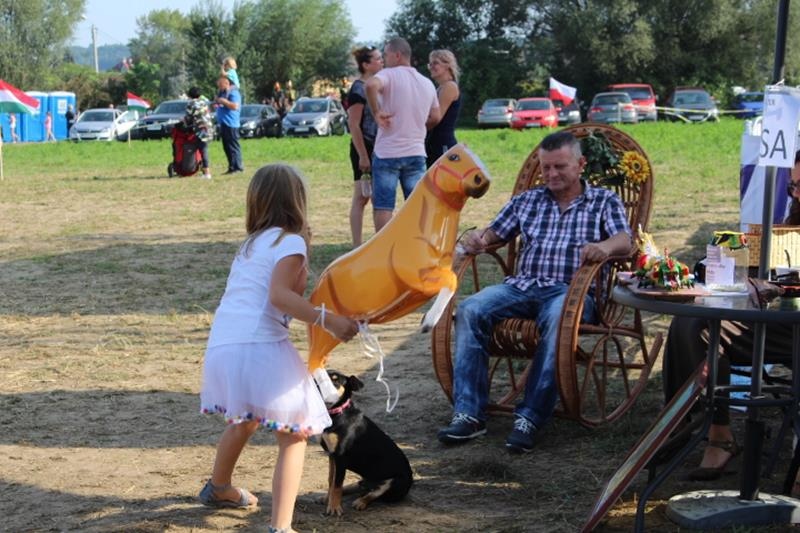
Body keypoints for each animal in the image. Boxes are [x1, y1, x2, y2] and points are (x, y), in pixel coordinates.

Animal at [319, 370, 413, 516]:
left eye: (335, 381)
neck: (337, 413)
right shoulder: (331, 455)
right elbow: (331, 480)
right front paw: (330, 499)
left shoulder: (340, 457)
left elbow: (336, 484)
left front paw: (334, 508)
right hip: (364, 480)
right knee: (358, 487)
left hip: (395, 482)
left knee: (373, 494)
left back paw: (361, 502)